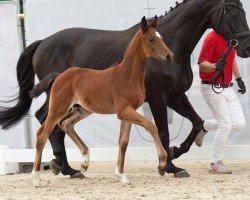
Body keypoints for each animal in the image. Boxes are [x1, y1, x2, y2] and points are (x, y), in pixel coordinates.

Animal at [30, 16, 173, 188]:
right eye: (151, 38)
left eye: (161, 37)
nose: (169, 56)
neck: (127, 76)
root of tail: (58, 76)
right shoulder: (123, 111)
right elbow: (151, 126)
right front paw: (162, 165)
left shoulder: (128, 112)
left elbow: (123, 142)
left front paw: (121, 175)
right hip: (58, 108)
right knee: (42, 134)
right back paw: (36, 178)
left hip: (82, 110)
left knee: (65, 124)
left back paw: (85, 161)